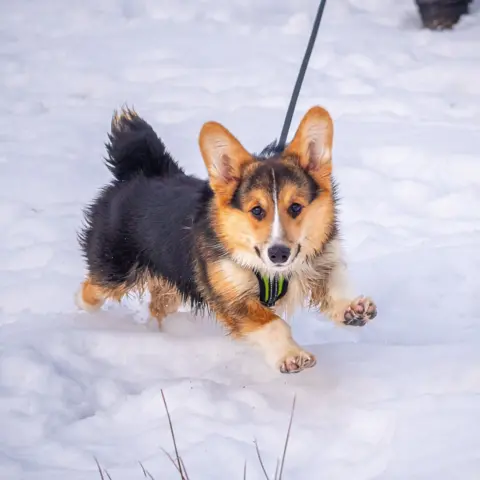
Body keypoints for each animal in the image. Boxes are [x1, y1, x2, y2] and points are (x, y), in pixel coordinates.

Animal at [75, 106, 376, 376]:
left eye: (296, 207)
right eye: (257, 210)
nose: (279, 254)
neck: (273, 273)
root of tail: (139, 172)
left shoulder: (319, 264)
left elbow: (334, 285)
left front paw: (352, 309)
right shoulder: (231, 295)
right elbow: (272, 323)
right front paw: (291, 356)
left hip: (172, 284)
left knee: (158, 307)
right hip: (115, 272)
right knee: (90, 289)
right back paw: (85, 313)